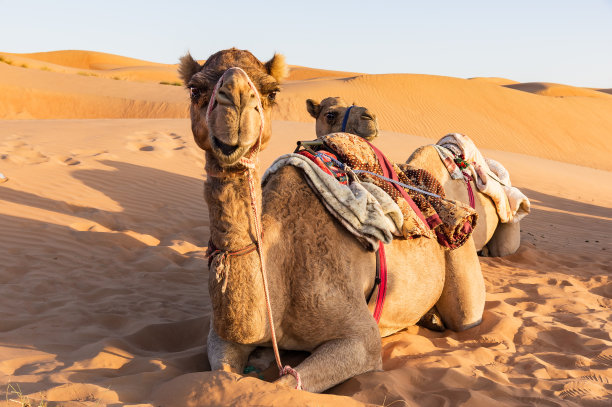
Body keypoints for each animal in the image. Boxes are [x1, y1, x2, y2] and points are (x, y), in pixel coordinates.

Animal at [179, 48, 486, 396]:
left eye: (272, 91)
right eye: (195, 89)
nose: (236, 102)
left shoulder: (361, 338)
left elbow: (284, 385)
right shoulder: (220, 336)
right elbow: (225, 374)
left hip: (461, 264)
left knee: (465, 315)